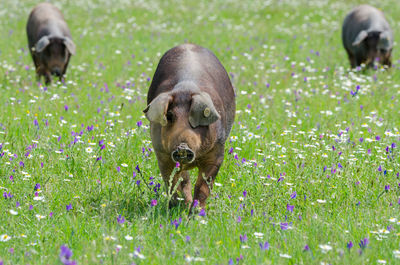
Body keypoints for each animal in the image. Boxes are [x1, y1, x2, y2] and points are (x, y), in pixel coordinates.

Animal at [145, 42, 236, 208]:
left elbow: (203, 186)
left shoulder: (217, 152)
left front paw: (196, 212)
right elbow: (175, 184)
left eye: (195, 119)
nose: (182, 147)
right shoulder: (162, 154)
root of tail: (187, 44)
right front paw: (179, 207)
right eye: (170, 116)